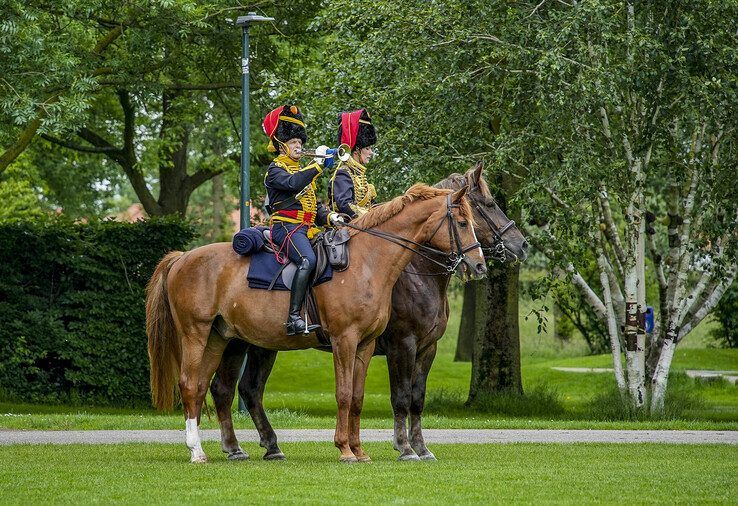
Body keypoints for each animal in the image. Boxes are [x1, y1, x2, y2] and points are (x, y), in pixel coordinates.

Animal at [146, 183, 486, 462]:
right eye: (463, 222)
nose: (480, 264)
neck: (368, 262)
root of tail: (182, 257)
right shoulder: (355, 341)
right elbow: (348, 394)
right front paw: (349, 449)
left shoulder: (368, 344)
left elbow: (359, 396)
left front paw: (360, 450)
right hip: (196, 334)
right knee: (191, 384)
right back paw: (197, 451)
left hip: (225, 339)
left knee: (214, 388)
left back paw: (241, 449)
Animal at [210, 163, 528, 462]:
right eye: (488, 205)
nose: (522, 245)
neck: (413, 272)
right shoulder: (402, 345)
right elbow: (400, 397)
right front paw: (404, 448)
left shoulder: (427, 348)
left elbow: (417, 398)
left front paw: (421, 447)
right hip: (243, 343)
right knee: (232, 389)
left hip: (256, 344)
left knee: (244, 389)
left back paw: (265, 446)